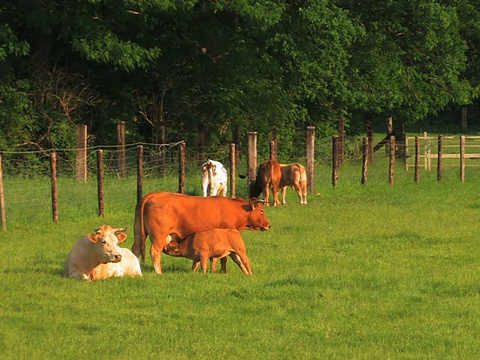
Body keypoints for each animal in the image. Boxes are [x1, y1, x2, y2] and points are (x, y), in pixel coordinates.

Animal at [133, 193, 272, 274]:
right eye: (262, 211)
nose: (269, 225)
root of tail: (153, 195)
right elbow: (222, 258)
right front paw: (221, 272)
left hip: (138, 234)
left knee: (135, 250)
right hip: (159, 237)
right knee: (155, 252)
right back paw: (158, 272)